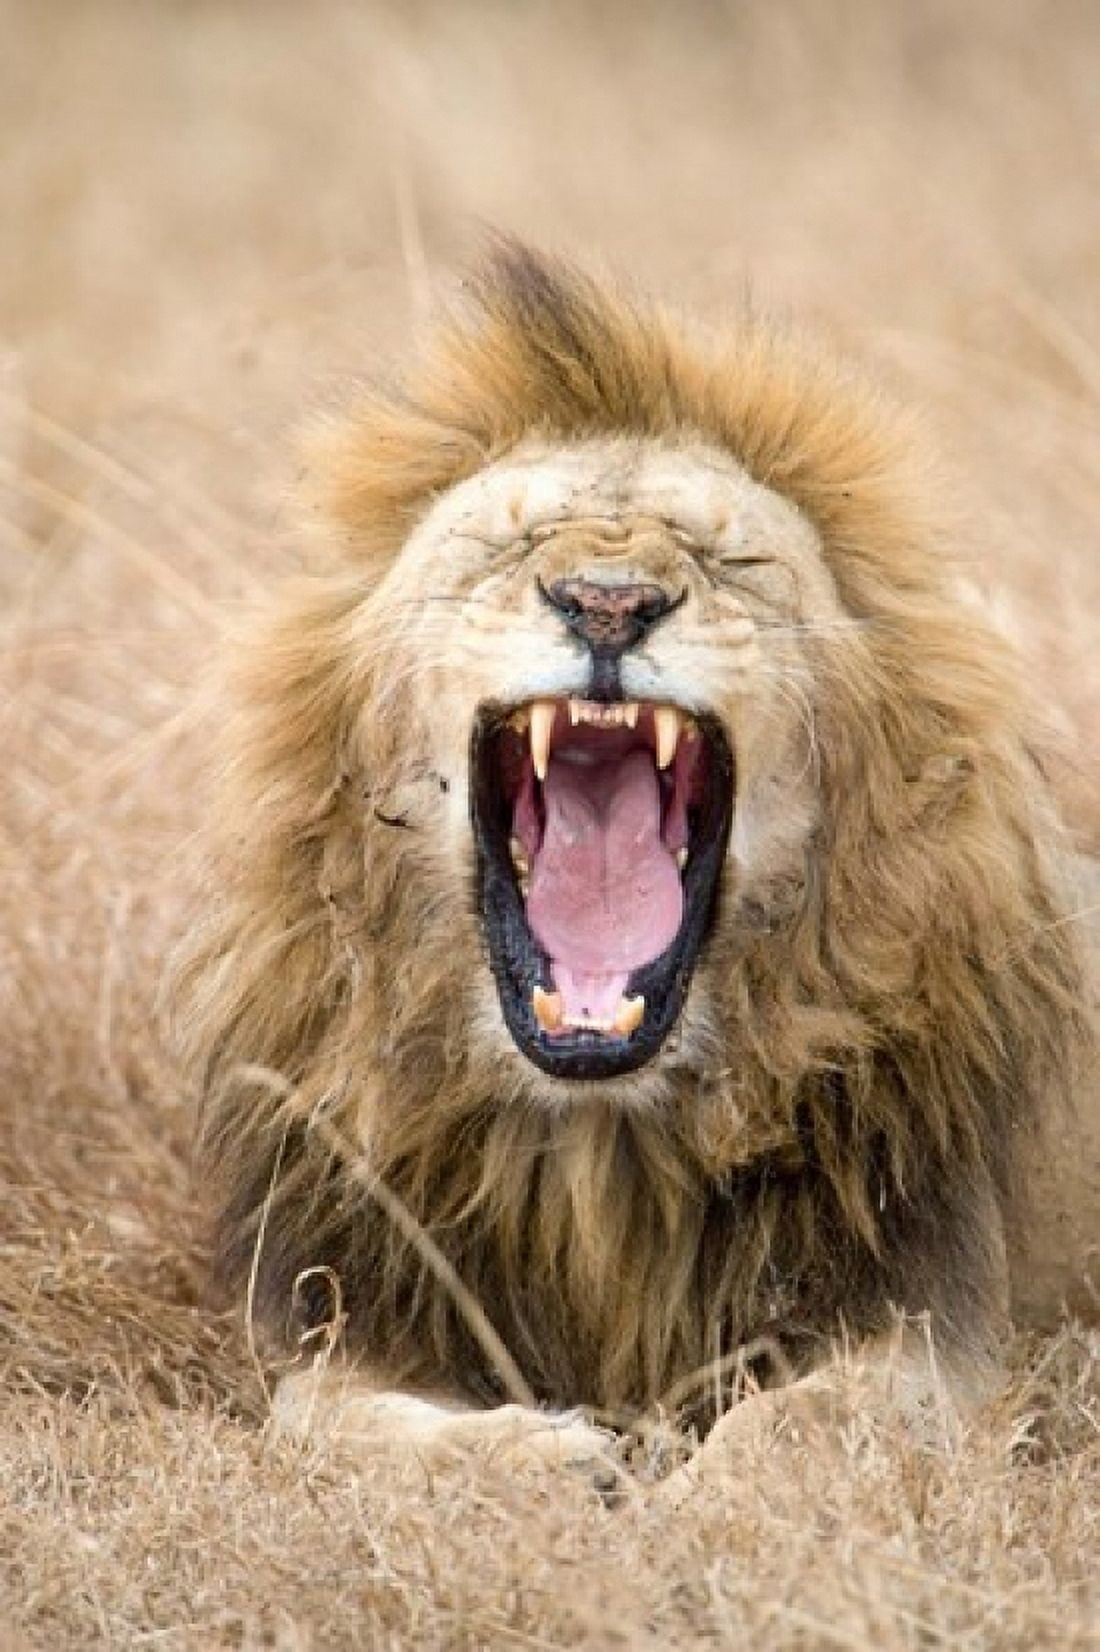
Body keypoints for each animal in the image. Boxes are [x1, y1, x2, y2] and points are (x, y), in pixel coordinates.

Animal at [178, 242, 1097, 1481]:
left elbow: (808, 1421)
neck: (597, 1137)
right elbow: (334, 1422)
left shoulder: (938, 1321)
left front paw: (690, 1494)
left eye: (730, 559)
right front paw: (545, 1462)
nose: (607, 603)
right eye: (507, 549)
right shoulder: (349, 1309)